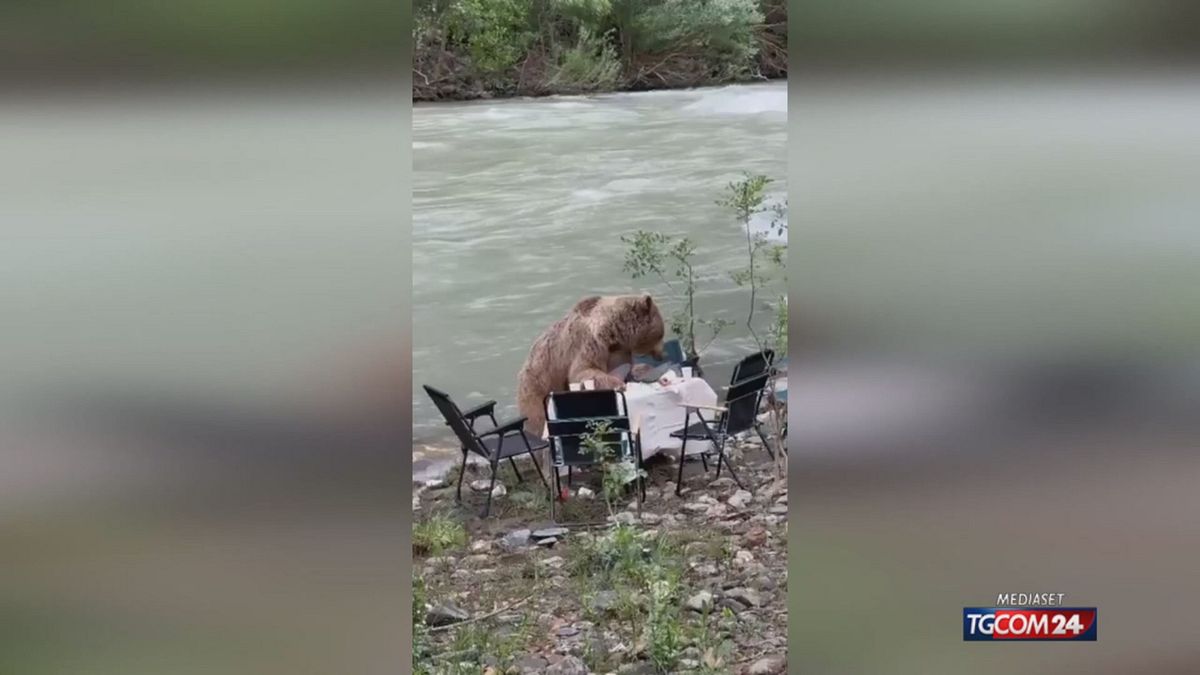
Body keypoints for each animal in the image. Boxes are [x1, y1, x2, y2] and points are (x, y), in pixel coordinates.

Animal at [517, 294, 666, 435]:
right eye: (661, 335)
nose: (662, 355)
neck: (613, 334)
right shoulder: (589, 343)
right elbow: (583, 371)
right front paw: (618, 384)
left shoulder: (618, 352)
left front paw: (643, 370)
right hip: (537, 387)